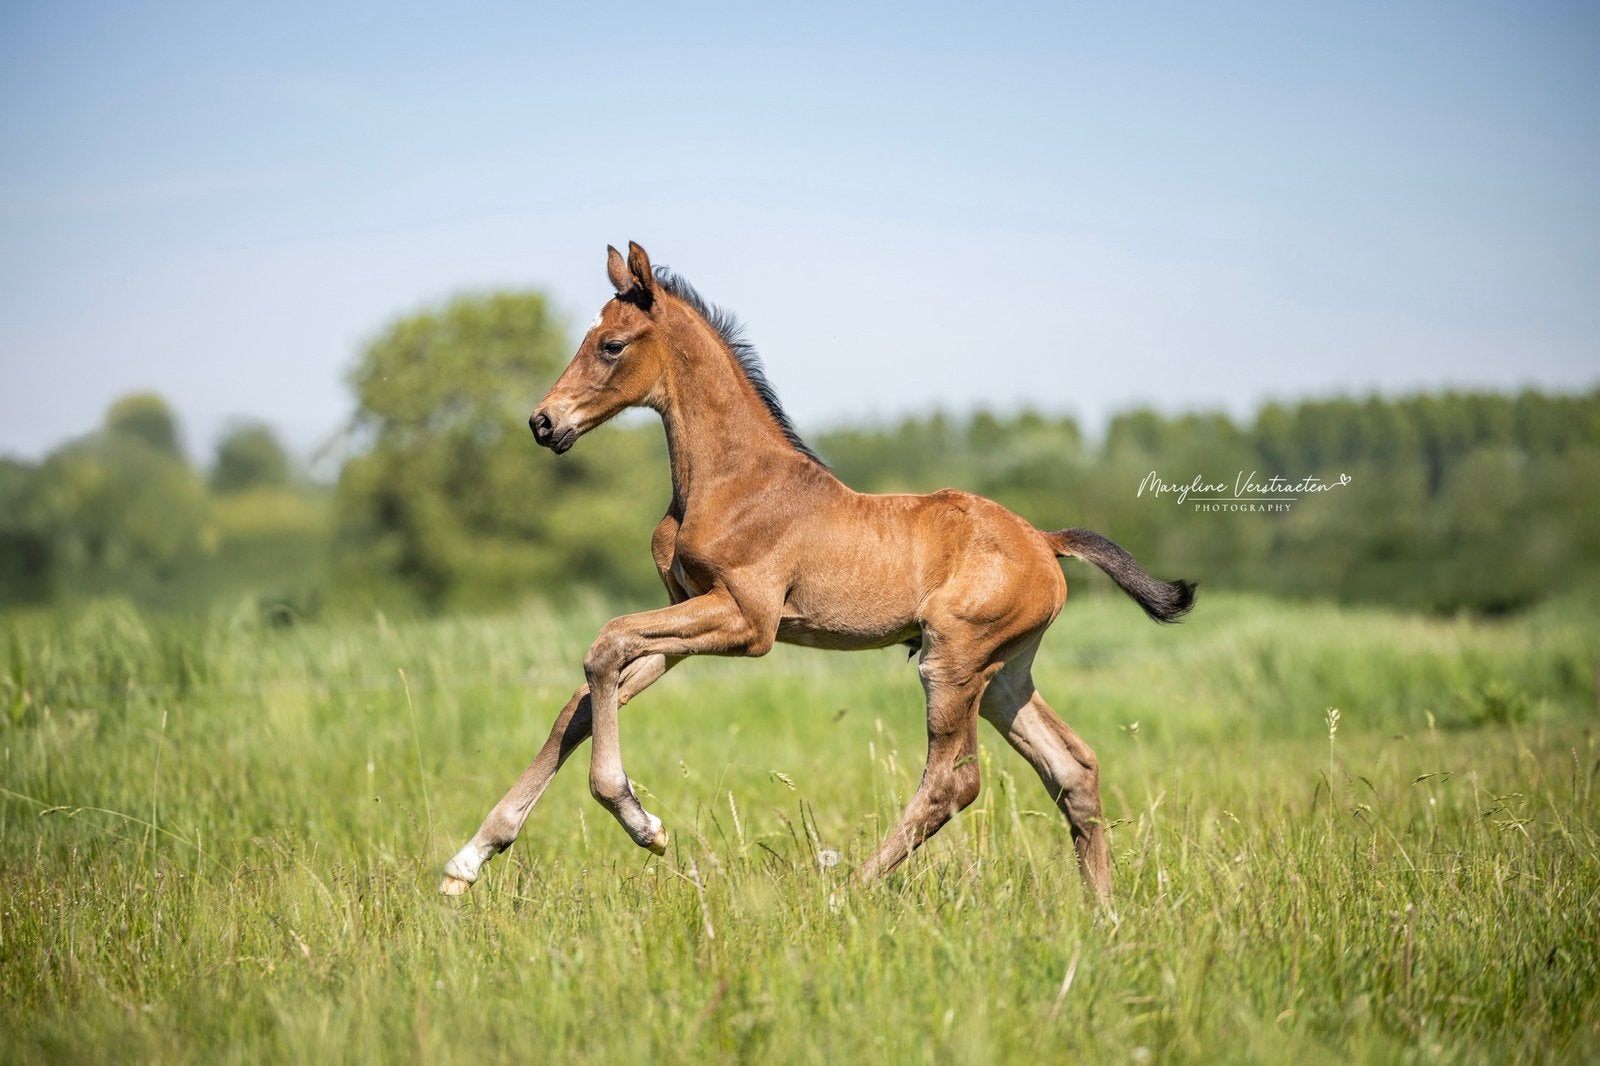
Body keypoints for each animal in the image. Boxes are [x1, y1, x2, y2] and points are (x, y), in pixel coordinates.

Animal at [440, 242, 1194, 906]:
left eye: (613, 345)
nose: (543, 422)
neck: (731, 480)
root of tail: (1043, 539)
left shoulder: (748, 621)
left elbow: (604, 643)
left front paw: (642, 823)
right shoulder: (688, 618)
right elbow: (581, 699)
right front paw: (468, 861)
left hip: (952, 661)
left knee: (956, 782)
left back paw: (846, 892)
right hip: (1006, 672)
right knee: (1073, 768)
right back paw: (1103, 914)